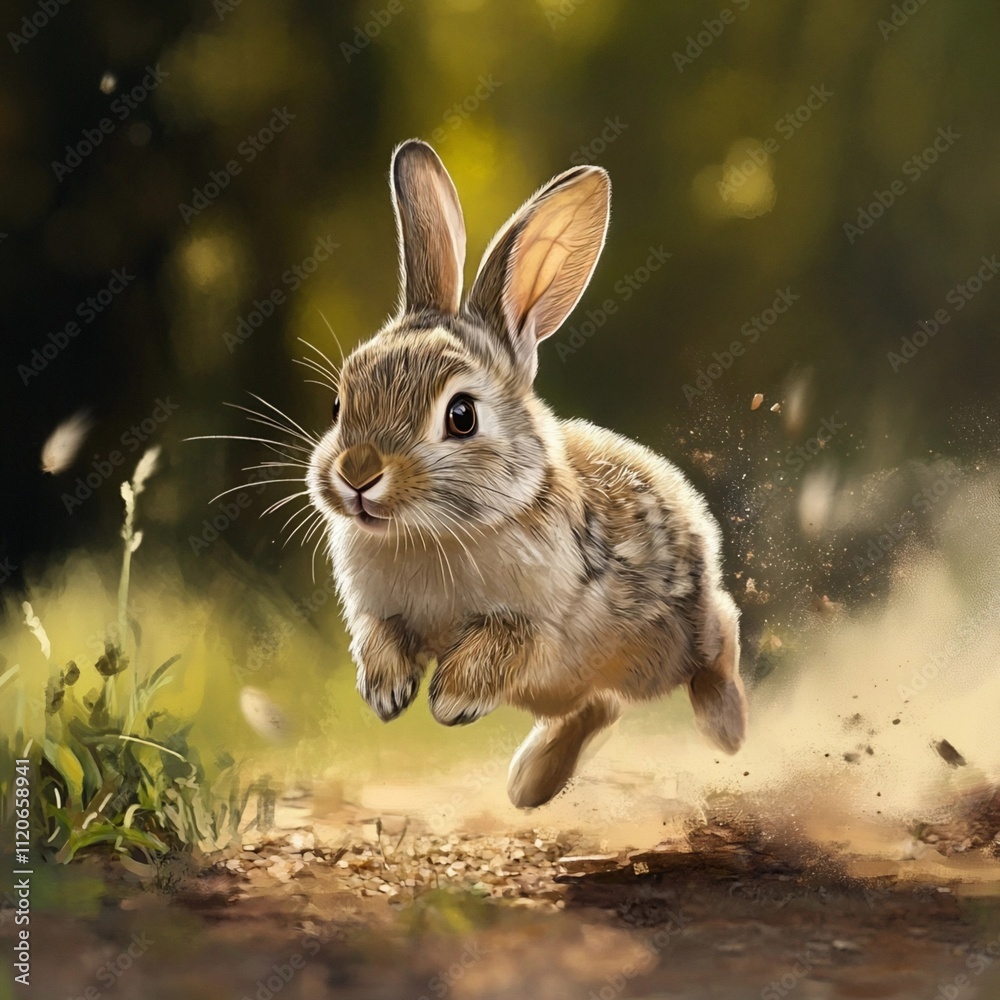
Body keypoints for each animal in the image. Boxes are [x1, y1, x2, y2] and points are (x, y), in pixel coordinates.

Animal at [306, 139, 748, 808]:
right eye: (339, 404)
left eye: (461, 415)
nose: (357, 475)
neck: (433, 532)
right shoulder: (376, 611)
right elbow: (379, 635)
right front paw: (386, 693)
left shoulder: (548, 619)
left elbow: (504, 642)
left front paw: (451, 698)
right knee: (598, 709)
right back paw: (529, 785)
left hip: (664, 642)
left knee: (721, 634)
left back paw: (727, 728)